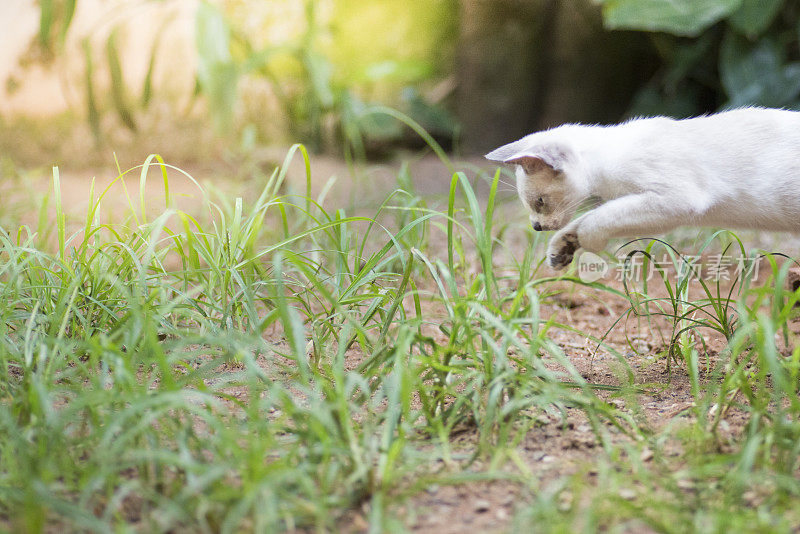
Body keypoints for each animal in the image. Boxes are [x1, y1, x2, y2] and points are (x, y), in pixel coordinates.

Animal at [484, 107, 800, 270]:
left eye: (539, 201)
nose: (536, 226)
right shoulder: (633, 200)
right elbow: (587, 217)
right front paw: (561, 250)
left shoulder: (673, 200)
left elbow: (597, 221)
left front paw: (587, 241)